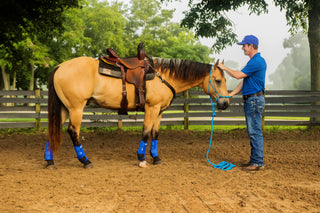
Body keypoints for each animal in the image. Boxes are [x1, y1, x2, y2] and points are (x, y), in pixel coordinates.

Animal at [45, 51, 230, 168]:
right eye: (218, 80)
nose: (225, 104)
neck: (163, 77)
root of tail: (60, 67)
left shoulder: (159, 111)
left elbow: (155, 133)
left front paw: (156, 158)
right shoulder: (151, 108)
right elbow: (146, 132)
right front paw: (141, 158)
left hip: (64, 108)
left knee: (53, 129)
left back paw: (50, 161)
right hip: (76, 108)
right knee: (73, 131)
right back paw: (85, 161)